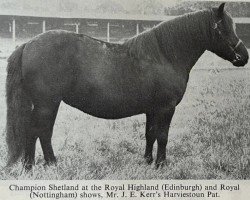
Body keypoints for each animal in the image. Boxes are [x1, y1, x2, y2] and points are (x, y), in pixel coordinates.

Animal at [5, 3, 248, 170]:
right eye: (224, 28)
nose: (243, 56)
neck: (164, 55)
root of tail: (28, 44)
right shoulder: (166, 108)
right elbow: (163, 136)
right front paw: (161, 164)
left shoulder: (152, 109)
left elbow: (150, 134)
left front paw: (147, 161)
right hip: (47, 104)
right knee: (39, 131)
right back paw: (46, 164)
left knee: (36, 132)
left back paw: (35, 165)